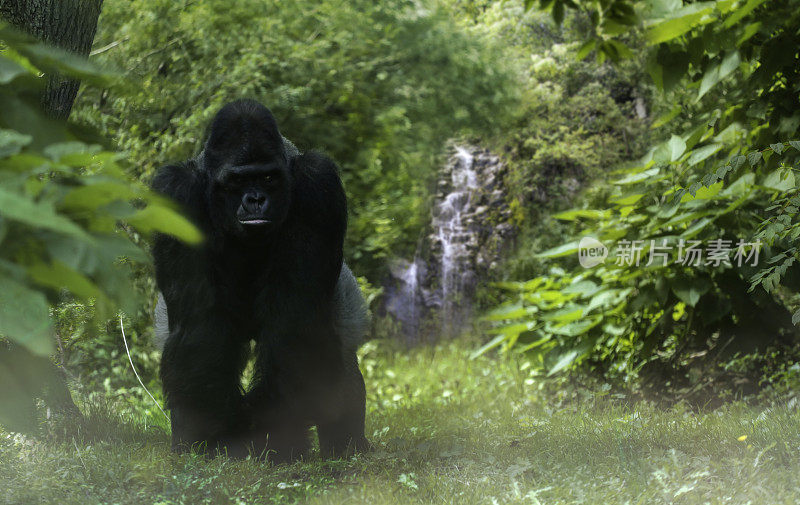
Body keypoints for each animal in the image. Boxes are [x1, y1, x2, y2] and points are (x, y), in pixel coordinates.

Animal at [152, 98, 370, 460]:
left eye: (268, 178)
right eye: (238, 181)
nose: (255, 200)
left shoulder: (318, 183)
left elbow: (295, 327)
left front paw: (267, 431)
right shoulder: (174, 191)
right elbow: (199, 327)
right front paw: (222, 431)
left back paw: (343, 446)